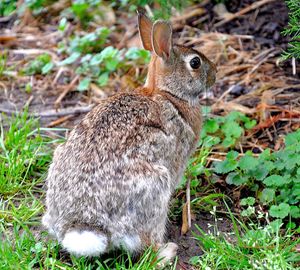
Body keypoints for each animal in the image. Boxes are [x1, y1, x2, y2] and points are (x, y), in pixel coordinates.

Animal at [42, 11, 216, 264]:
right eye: (195, 62)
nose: (215, 73)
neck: (168, 94)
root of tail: (86, 224)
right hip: (156, 186)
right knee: (147, 244)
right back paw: (168, 251)